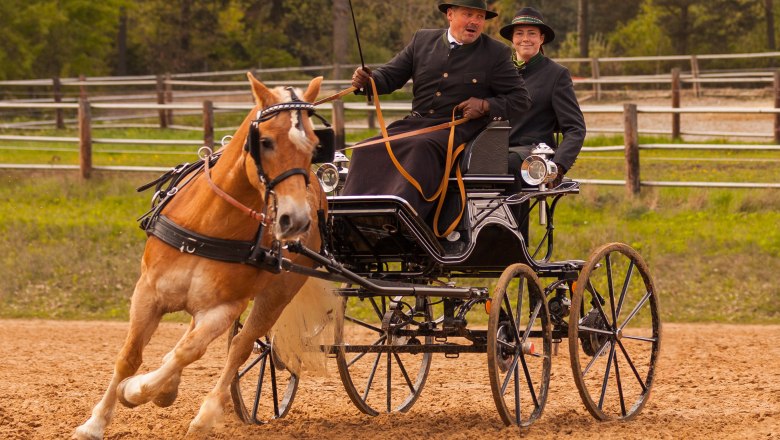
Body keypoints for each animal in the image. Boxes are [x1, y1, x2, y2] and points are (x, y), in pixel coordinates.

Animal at [71, 74, 330, 438]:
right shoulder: (148, 292)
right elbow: (130, 356)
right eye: (264, 141)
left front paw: (136, 390)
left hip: (277, 294)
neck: (210, 223)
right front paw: (94, 424)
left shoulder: (223, 307)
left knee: (242, 346)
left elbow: (192, 351)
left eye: (312, 145)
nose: (296, 220)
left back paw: (206, 410)